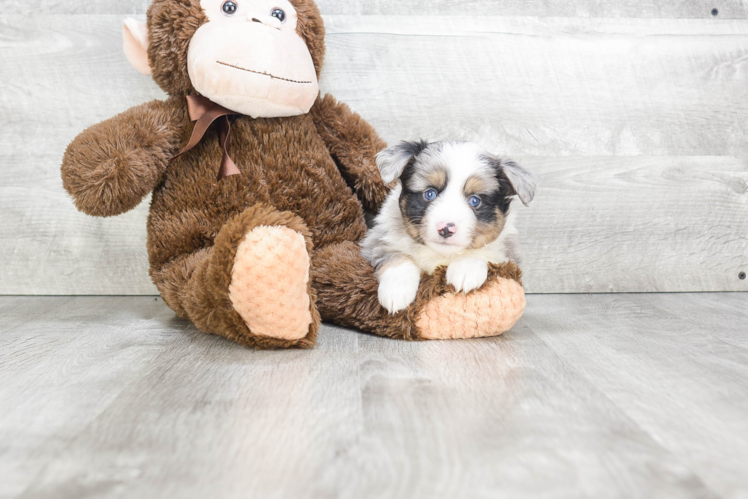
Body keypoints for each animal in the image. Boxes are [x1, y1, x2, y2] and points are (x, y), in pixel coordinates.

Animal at [360, 141, 536, 312]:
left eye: (475, 201)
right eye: (430, 193)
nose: (445, 229)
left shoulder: (510, 254)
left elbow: (487, 251)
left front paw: (465, 269)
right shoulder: (376, 240)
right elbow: (397, 255)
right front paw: (396, 291)